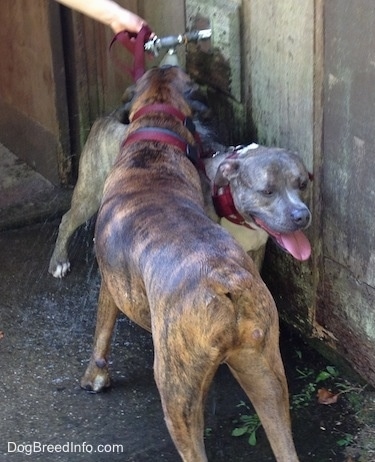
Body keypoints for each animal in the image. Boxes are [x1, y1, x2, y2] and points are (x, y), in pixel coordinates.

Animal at [81, 67, 302, 462]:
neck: (153, 149)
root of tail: (226, 281)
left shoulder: (111, 285)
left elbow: (102, 330)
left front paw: (95, 376)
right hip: (268, 379)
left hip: (176, 391)